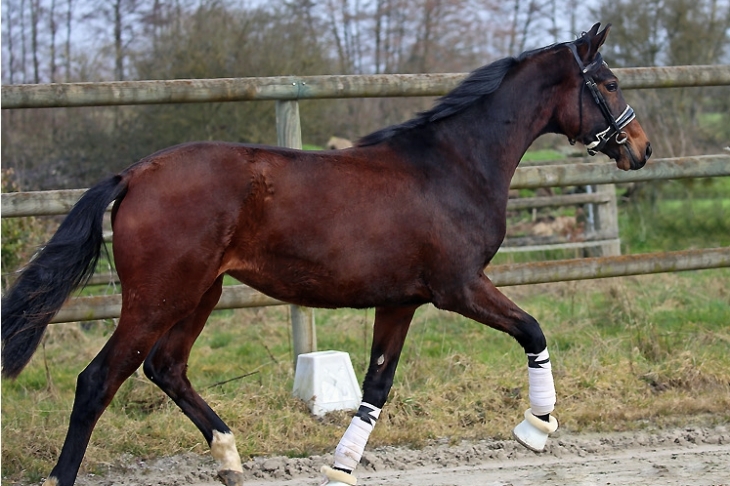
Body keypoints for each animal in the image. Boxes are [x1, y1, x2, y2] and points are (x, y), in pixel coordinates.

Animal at [0, 24, 648, 486]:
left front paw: (339, 467)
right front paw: (537, 427)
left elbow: (376, 388)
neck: (453, 165)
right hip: (158, 296)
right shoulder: (459, 286)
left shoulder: (402, 302)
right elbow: (533, 329)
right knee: (98, 381)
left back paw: (230, 459)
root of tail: (134, 174)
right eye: (610, 82)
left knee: (166, 367)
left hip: (201, 292)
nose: (639, 148)